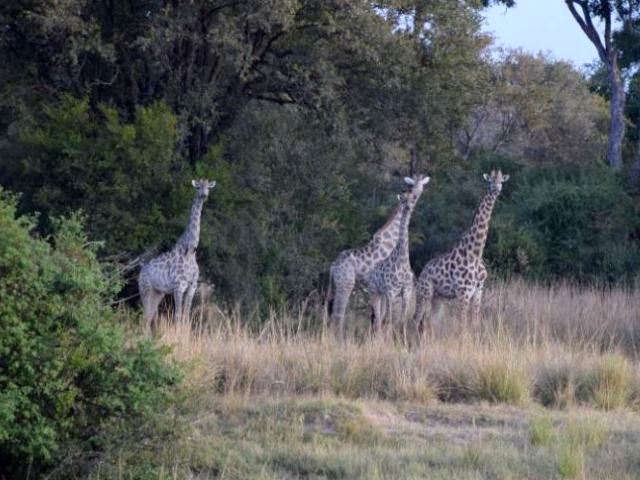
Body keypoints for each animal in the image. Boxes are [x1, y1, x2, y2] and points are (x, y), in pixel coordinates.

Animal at [138, 179, 216, 332]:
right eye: (198, 187)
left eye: (208, 188)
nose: (204, 195)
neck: (190, 252)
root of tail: (140, 272)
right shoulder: (178, 286)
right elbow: (178, 315)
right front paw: (178, 335)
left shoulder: (192, 287)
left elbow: (186, 316)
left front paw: (185, 335)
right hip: (145, 289)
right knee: (145, 315)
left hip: (158, 292)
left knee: (149, 315)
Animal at [327, 177, 416, 338]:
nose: (414, 198)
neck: (391, 240)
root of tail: (333, 267)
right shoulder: (386, 289)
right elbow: (383, 318)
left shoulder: (381, 289)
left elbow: (378, 318)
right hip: (346, 285)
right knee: (338, 314)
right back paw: (340, 340)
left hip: (337, 286)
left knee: (330, 313)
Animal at [367, 175, 430, 337]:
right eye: (403, 198)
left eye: (422, 185)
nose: (411, 201)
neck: (402, 259)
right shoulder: (391, 291)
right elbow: (389, 320)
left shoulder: (406, 291)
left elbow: (401, 320)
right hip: (375, 293)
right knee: (378, 321)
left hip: (383, 295)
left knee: (380, 320)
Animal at [414, 170, 509, 334]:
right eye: (490, 181)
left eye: (501, 181)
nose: (496, 189)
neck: (475, 253)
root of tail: (422, 272)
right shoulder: (463, 292)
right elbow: (462, 325)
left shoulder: (478, 291)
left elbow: (474, 324)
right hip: (424, 293)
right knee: (417, 319)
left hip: (439, 298)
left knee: (429, 322)